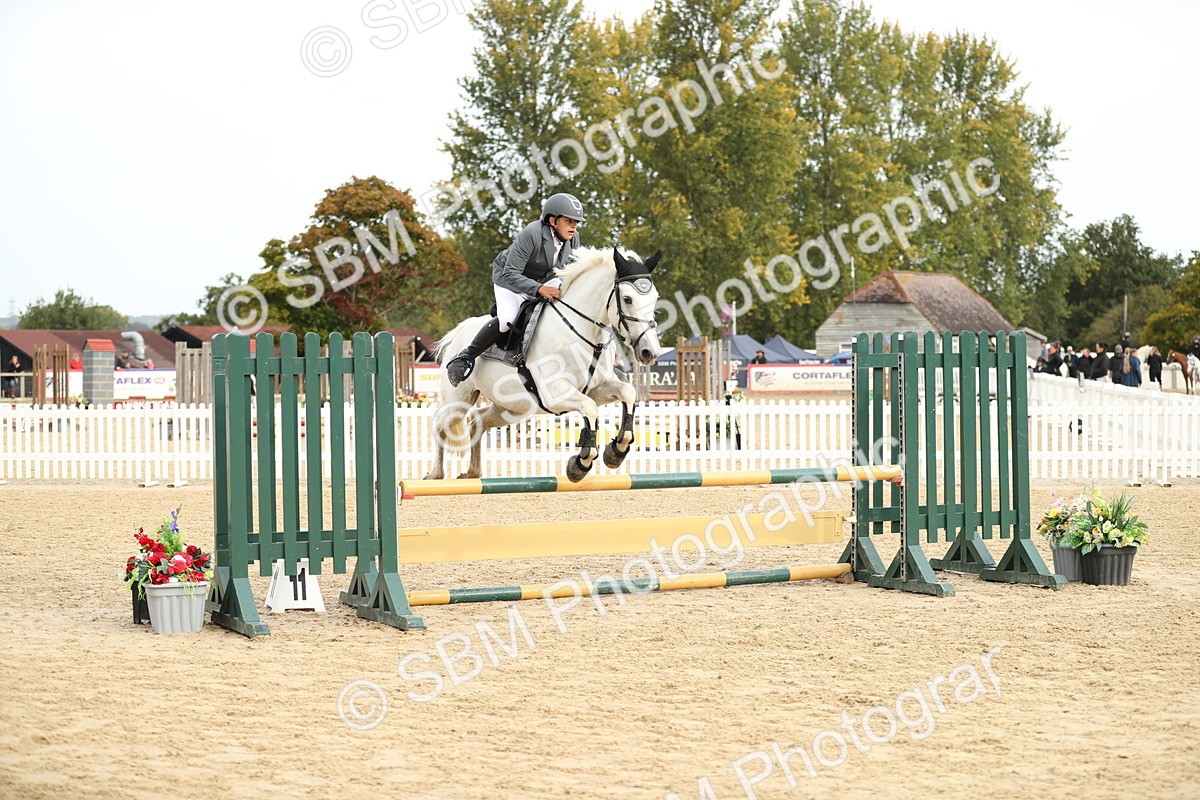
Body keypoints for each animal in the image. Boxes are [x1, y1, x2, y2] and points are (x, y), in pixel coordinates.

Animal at [427, 246, 665, 482]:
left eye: (655, 298)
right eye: (627, 299)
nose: (649, 352)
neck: (582, 331)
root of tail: (461, 330)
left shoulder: (597, 389)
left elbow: (627, 393)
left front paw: (615, 452)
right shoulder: (556, 394)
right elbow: (589, 408)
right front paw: (580, 464)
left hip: (513, 407)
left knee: (479, 421)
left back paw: (473, 472)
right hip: (458, 400)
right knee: (440, 424)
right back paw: (435, 473)